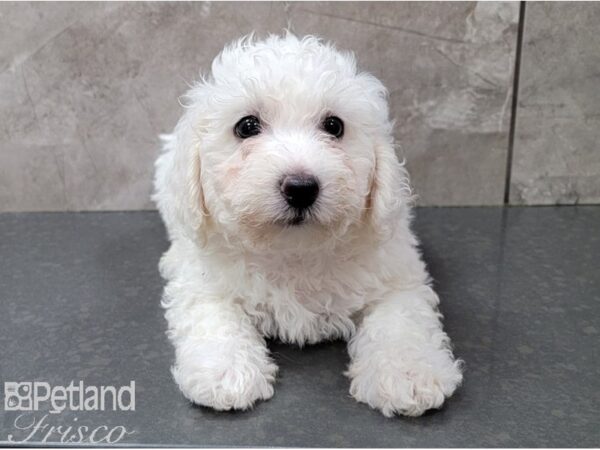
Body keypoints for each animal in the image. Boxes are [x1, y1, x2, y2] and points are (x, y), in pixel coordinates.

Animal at [154, 33, 464, 416]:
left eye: (334, 126)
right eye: (246, 126)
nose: (301, 188)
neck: (295, 251)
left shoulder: (397, 274)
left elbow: (402, 321)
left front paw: (410, 373)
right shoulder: (202, 279)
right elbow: (214, 315)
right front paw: (226, 373)